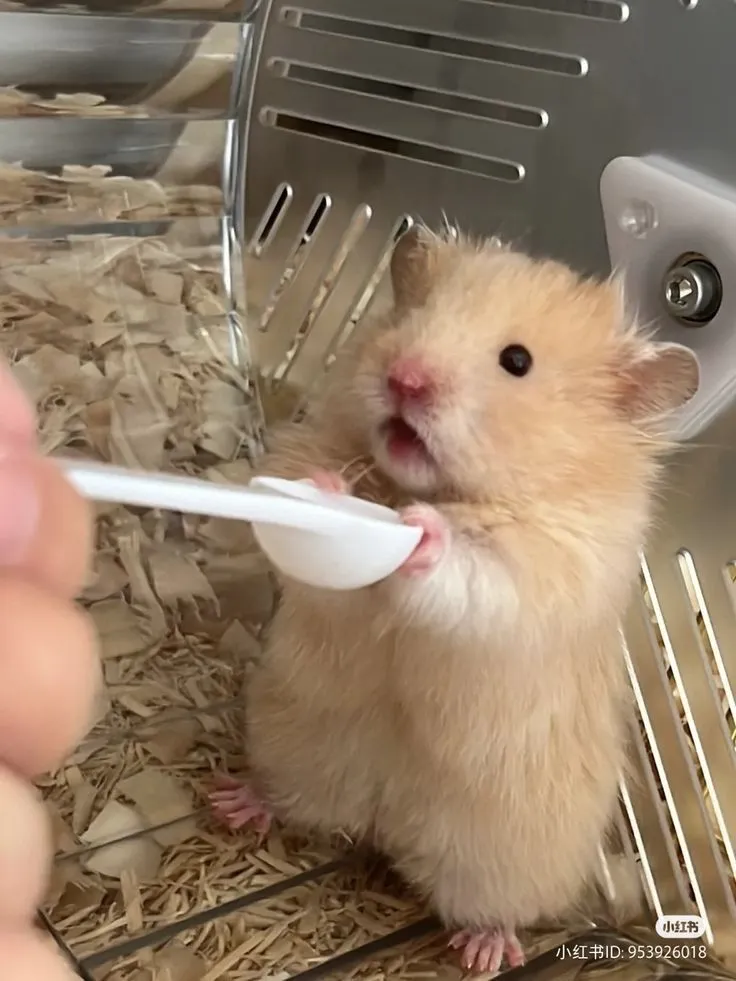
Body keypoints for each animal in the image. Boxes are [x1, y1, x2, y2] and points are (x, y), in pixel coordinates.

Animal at [210, 227, 699, 974]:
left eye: (516, 361)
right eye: (412, 316)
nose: (404, 377)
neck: (428, 487)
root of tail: (385, 823)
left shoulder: (551, 567)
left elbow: (476, 574)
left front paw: (423, 534)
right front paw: (328, 490)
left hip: (502, 856)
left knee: (488, 905)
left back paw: (485, 951)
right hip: (292, 745)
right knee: (294, 801)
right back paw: (233, 802)